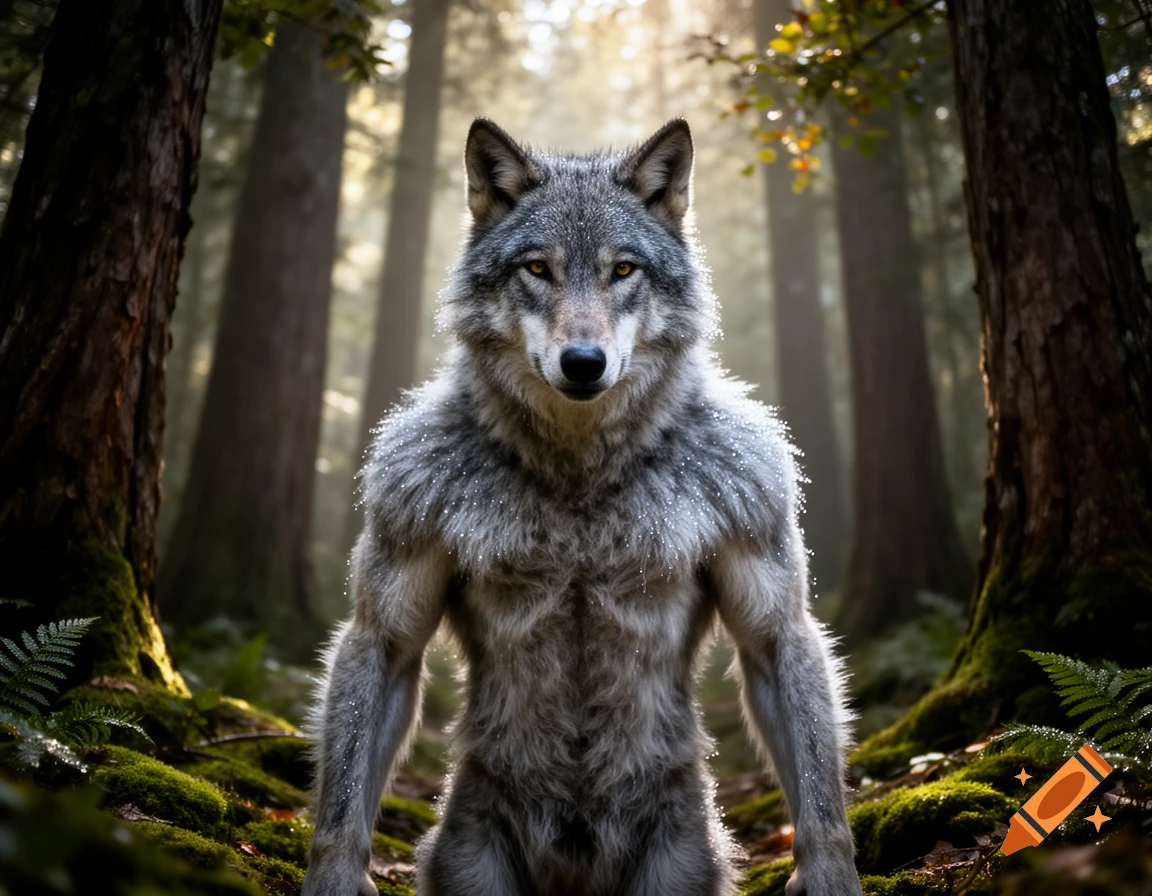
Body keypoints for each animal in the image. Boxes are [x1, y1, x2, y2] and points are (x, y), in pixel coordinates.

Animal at [302, 118, 862, 896]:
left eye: (622, 270)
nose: (584, 362)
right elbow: (378, 676)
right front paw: (334, 875)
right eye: (538, 269)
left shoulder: (759, 517)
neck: (579, 472)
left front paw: (830, 872)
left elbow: (782, 668)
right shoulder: (397, 539)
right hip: (471, 861)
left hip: (677, 866)